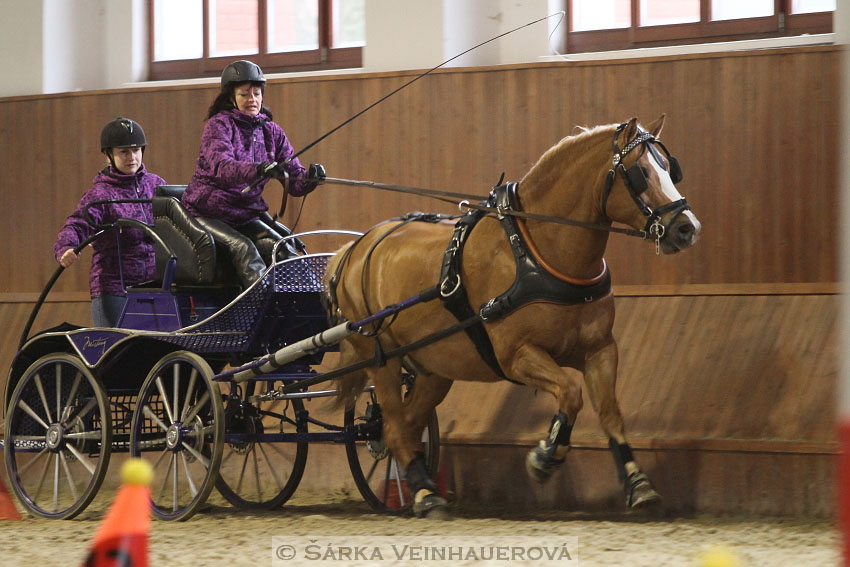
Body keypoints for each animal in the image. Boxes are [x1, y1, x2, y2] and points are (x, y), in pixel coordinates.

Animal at [322, 117, 700, 516]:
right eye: (641, 172)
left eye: (670, 167)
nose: (687, 228)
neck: (538, 251)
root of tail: (354, 249)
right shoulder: (516, 355)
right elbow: (570, 392)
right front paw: (546, 456)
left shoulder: (600, 349)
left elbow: (610, 411)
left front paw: (638, 482)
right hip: (382, 360)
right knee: (393, 425)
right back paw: (425, 494)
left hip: (433, 368)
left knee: (407, 424)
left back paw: (423, 487)